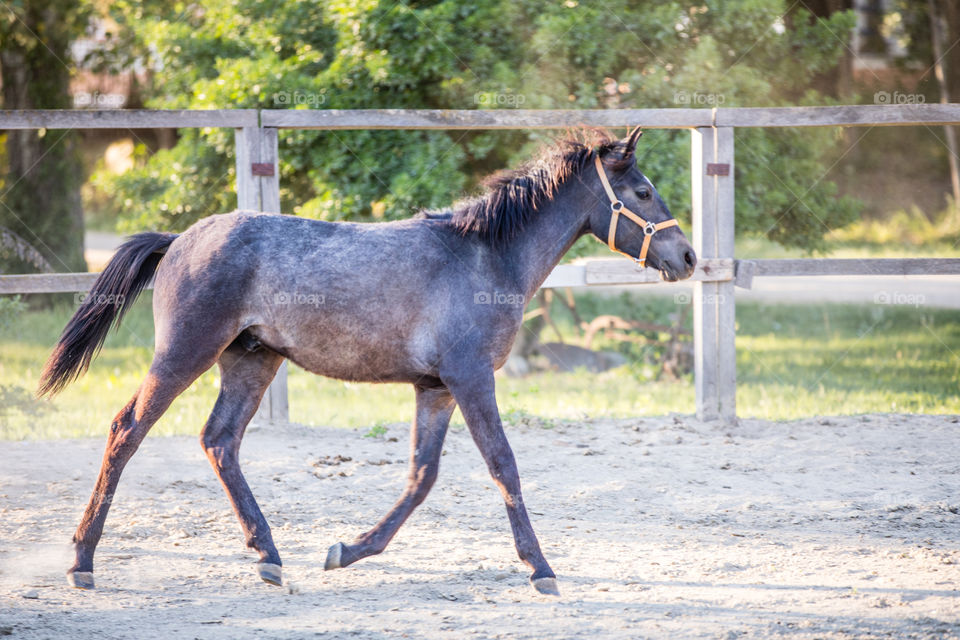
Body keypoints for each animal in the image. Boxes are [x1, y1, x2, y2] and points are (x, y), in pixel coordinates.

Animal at [39, 125, 696, 596]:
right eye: (642, 192)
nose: (687, 256)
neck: (485, 257)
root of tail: (179, 240)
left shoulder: (436, 388)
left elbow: (421, 477)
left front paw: (347, 552)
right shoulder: (471, 379)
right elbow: (503, 466)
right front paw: (541, 569)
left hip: (251, 362)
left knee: (219, 440)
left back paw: (269, 557)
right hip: (184, 353)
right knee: (127, 429)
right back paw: (82, 561)